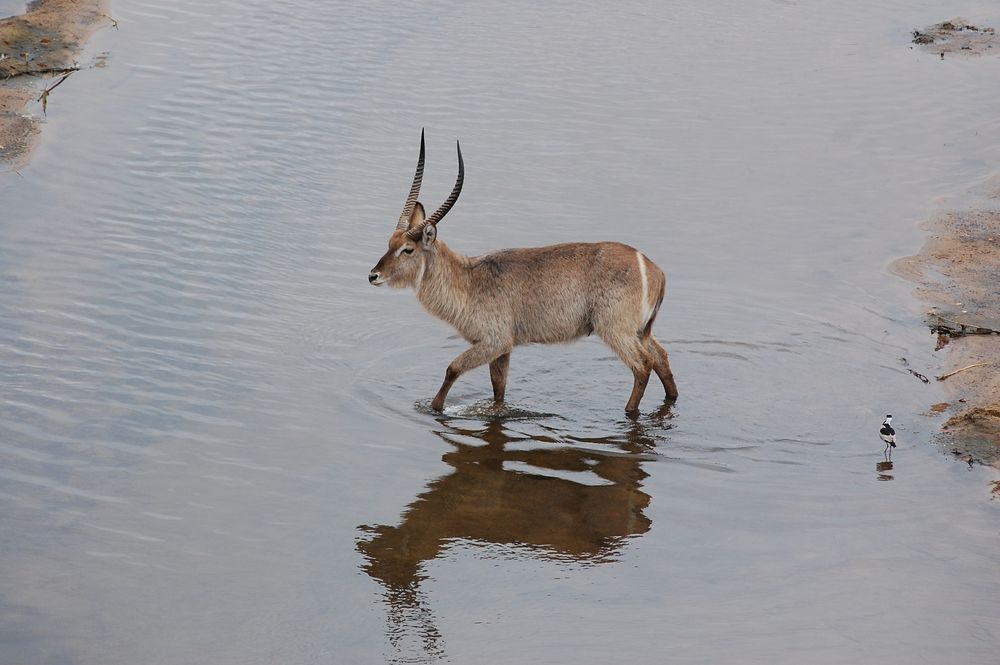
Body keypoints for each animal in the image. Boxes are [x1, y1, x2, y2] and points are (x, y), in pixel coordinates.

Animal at [370, 132, 680, 412]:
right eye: (389, 242)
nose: (373, 275)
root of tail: (653, 268)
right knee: (662, 359)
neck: (468, 279)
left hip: (615, 329)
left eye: (407, 249)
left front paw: (434, 408)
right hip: (640, 331)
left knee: (643, 366)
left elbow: (453, 368)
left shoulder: (494, 341)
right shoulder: (503, 349)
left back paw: (628, 410)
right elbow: (498, 390)